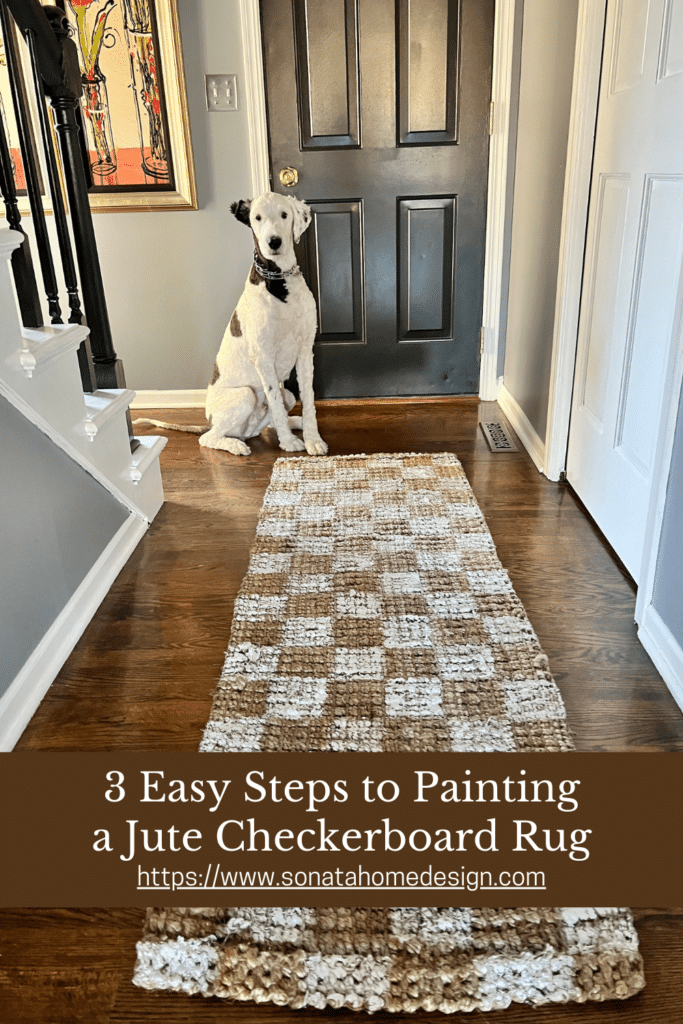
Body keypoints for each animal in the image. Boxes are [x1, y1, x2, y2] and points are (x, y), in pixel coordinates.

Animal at [137, 192, 327, 456]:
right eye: (257, 217)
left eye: (284, 214)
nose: (273, 242)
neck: (278, 282)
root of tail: (209, 421)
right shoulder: (263, 356)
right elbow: (275, 404)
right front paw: (289, 443)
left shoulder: (305, 350)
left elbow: (308, 400)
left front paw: (313, 439)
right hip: (245, 395)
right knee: (208, 437)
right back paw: (236, 444)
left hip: (286, 394)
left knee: (271, 417)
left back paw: (291, 423)